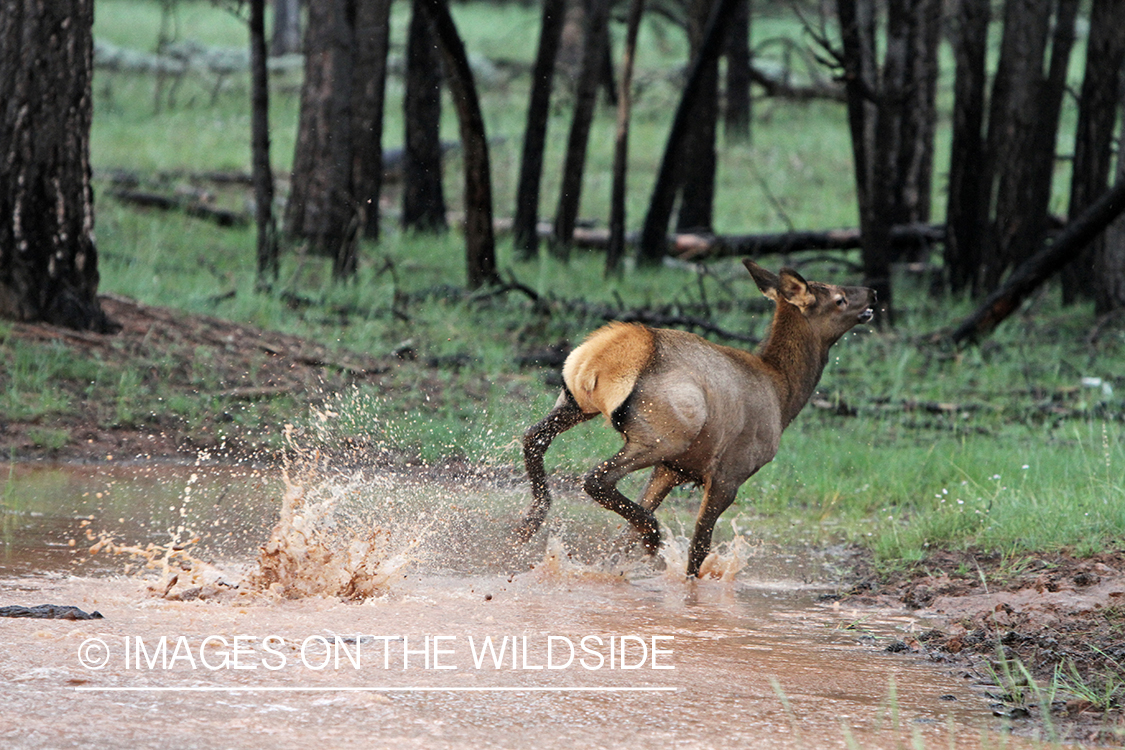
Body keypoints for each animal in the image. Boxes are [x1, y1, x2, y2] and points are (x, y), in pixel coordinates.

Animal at [517, 260, 877, 580]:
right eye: (839, 298)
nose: (872, 292)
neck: (783, 394)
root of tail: (605, 355)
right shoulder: (728, 475)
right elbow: (698, 549)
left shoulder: (673, 469)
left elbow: (623, 539)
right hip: (665, 434)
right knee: (596, 478)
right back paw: (652, 536)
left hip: (576, 402)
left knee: (532, 437)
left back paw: (528, 525)